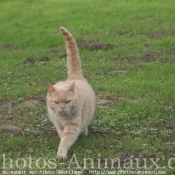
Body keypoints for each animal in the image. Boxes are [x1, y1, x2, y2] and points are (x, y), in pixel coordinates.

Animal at [46, 26, 95, 159]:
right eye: (56, 102)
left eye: (68, 101)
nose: (62, 108)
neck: (61, 117)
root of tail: (75, 77)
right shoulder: (57, 123)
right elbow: (61, 135)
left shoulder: (72, 126)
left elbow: (66, 140)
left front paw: (61, 153)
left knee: (85, 126)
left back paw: (84, 132)